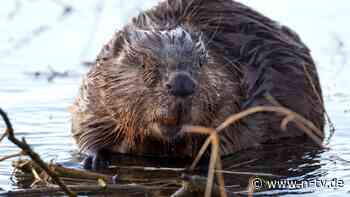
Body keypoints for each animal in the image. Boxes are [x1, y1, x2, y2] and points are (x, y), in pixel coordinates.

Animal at [69, 0, 326, 169]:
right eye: (143, 63)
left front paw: (204, 159)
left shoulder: (236, 94)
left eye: (201, 62)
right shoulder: (95, 93)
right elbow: (85, 126)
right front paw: (93, 158)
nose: (182, 84)